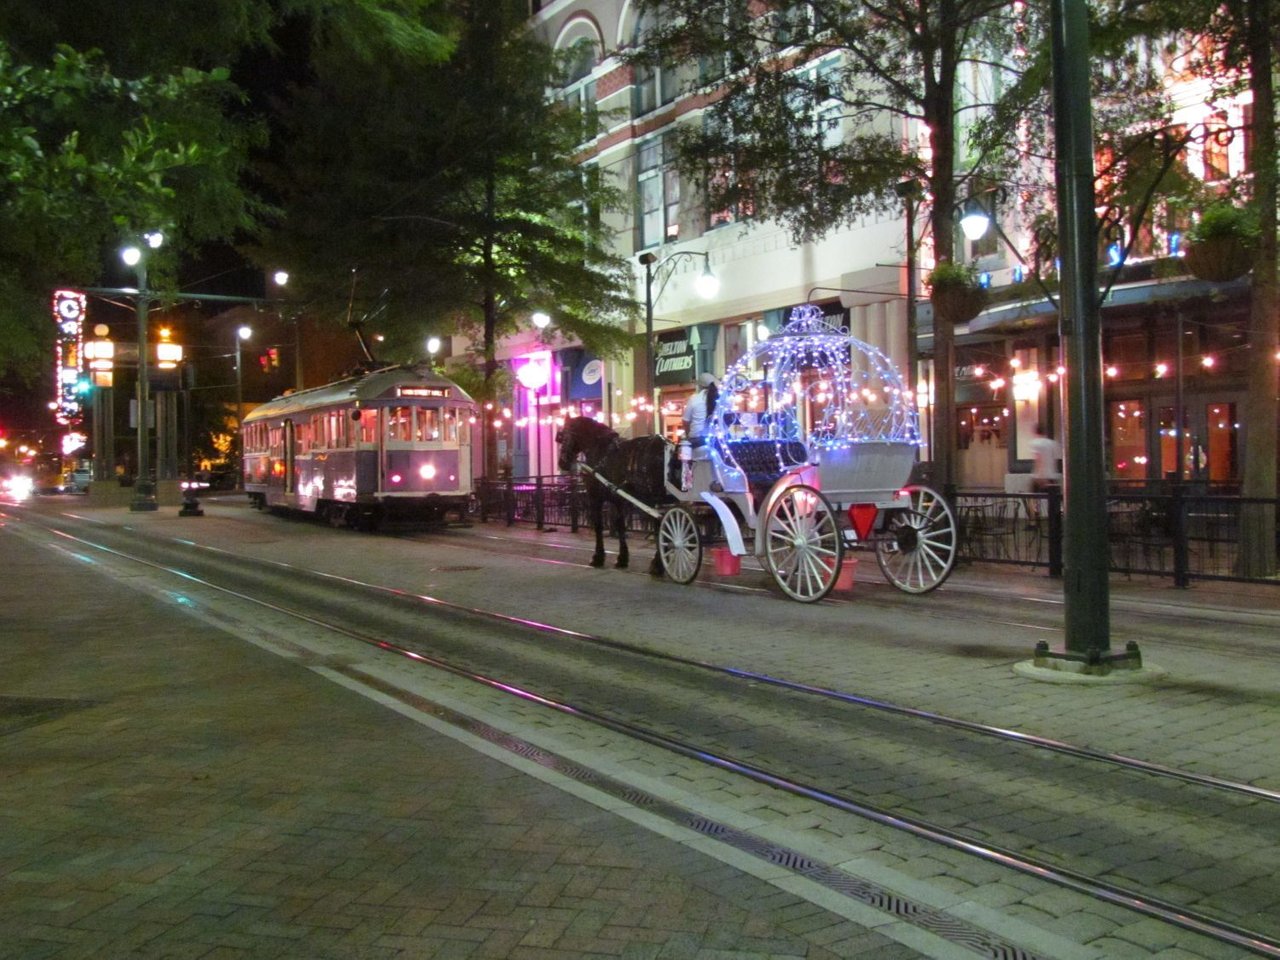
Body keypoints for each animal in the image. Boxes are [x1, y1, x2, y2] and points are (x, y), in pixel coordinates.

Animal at [552, 417, 670, 576]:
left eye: (563, 435)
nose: (562, 463)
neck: (598, 449)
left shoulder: (595, 498)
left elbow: (599, 525)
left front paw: (598, 557)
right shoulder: (618, 500)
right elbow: (620, 525)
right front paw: (622, 558)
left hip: (654, 498)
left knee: (660, 524)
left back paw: (657, 564)